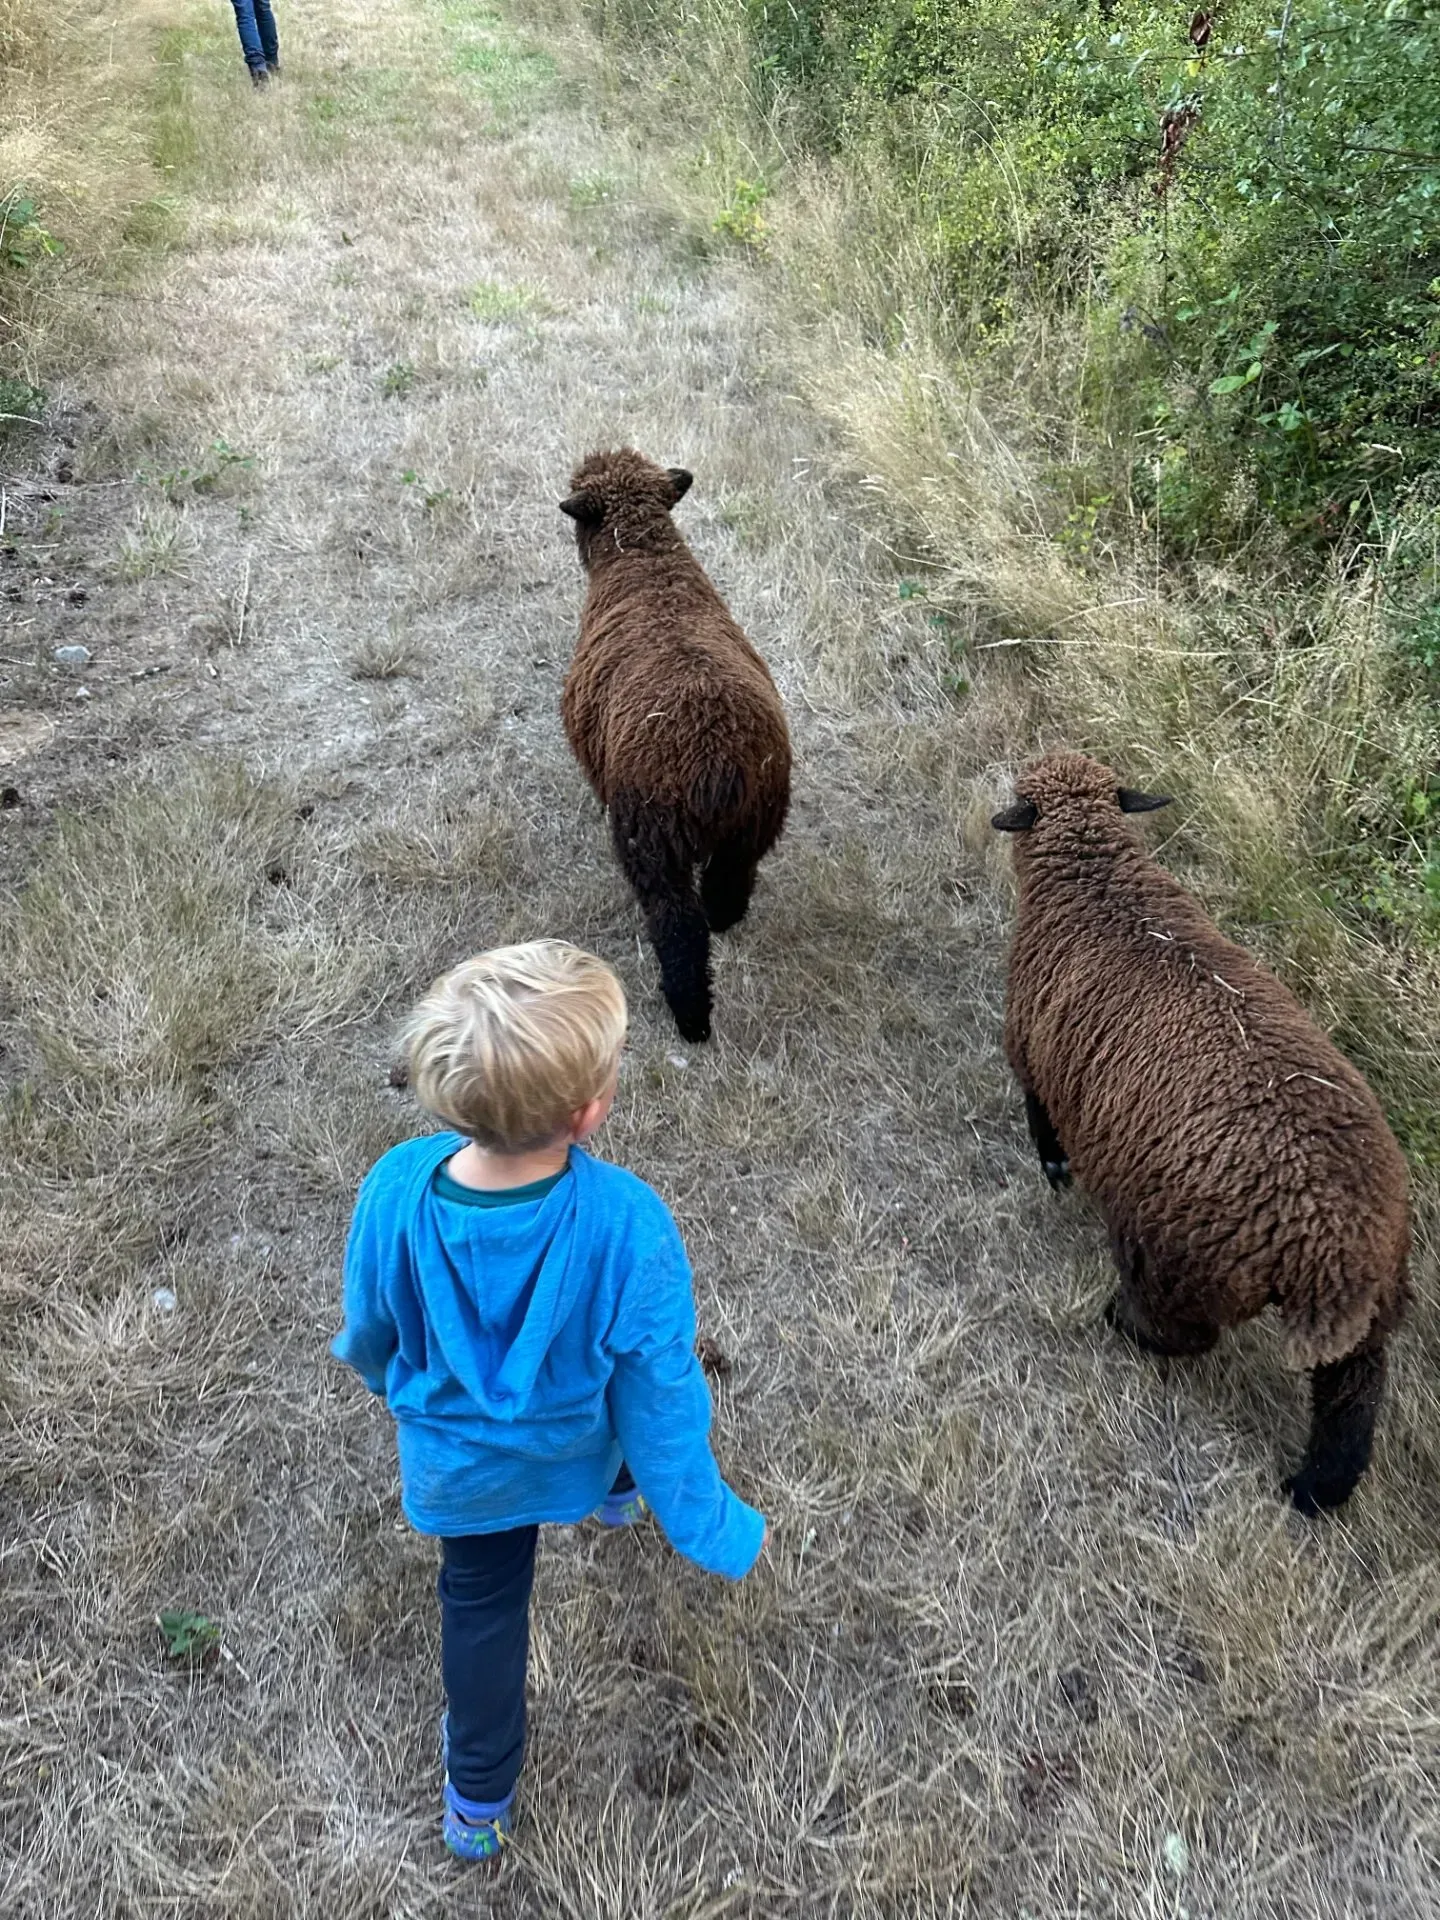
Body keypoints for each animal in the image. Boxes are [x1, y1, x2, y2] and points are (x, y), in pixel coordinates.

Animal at [558, 448, 791, 1043]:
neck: (646, 562)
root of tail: (717, 765)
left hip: (654, 843)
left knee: (678, 927)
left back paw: (690, 1017)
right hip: (751, 828)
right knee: (729, 887)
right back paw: (724, 921)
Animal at [992, 750, 1410, 1514]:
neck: (1098, 881)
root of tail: (1331, 1249)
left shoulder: (1031, 1049)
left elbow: (1040, 1118)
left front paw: (1054, 1169)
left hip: (1177, 1258)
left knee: (1184, 1336)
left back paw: (1120, 1322)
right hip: (1375, 1312)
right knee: (1351, 1402)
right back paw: (1313, 1490)